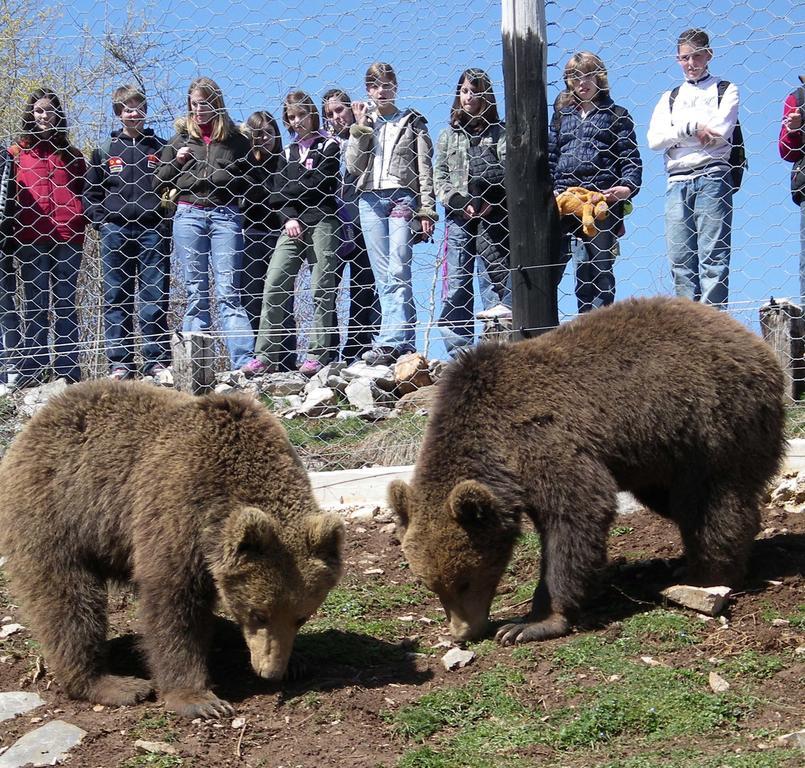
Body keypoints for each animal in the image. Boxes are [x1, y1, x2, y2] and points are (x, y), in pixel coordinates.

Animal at [0, 380, 342, 716]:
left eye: (302, 616)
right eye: (258, 613)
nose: (270, 671)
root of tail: (37, 422)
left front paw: (297, 661)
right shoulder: (174, 511)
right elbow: (173, 607)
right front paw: (200, 699)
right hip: (60, 513)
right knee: (69, 601)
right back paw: (112, 683)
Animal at [390, 296, 784, 644]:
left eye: (465, 580)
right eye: (432, 584)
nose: (463, 633)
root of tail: (756, 344)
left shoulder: (545, 441)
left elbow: (575, 516)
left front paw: (530, 623)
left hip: (712, 422)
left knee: (713, 501)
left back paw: (710, 574)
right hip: (660, 454)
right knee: (676, 502)